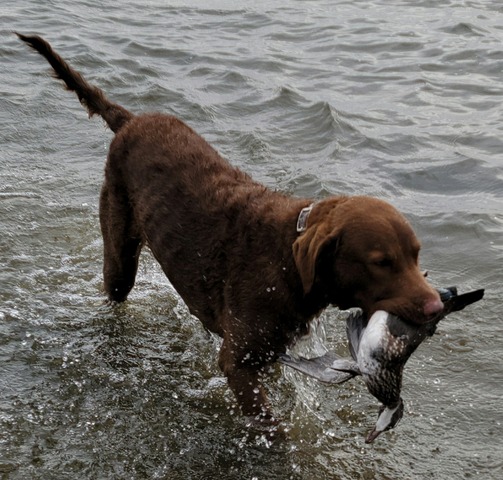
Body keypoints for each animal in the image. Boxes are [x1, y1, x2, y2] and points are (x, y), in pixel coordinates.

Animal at [17, 33, 442, 424]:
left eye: (416, 255)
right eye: (381, 262)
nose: (438, 306)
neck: (286, 259)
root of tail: (130, 120)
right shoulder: (239, 361)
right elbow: (270, 425)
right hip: (119, 251)